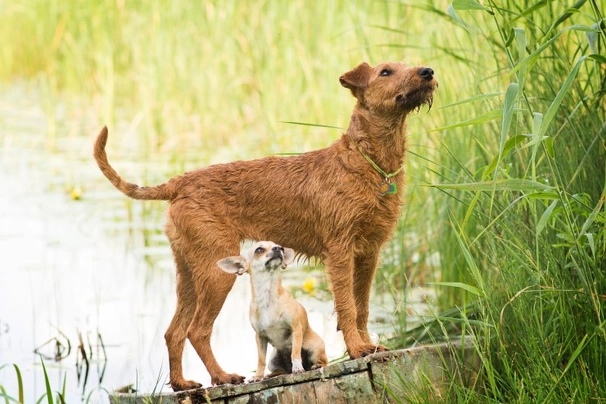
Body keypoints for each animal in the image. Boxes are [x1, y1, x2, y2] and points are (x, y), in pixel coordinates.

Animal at [217, 241, 328, 380]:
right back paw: (270, 375)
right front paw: (258, 376)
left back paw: (315, 366)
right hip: (273, 360)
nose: (278, 248)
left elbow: (295, 352)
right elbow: (260, 360)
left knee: (323, 361)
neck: (267, 295)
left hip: (315, 349)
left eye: (280, 247)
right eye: (259, 250)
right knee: (281, 370)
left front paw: (297, 367)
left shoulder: (296, 329)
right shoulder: (259, 336)